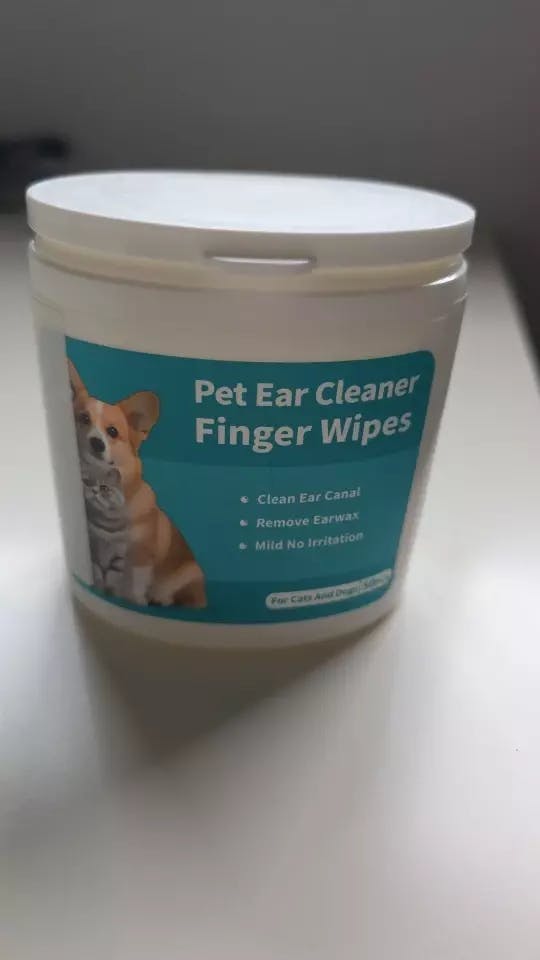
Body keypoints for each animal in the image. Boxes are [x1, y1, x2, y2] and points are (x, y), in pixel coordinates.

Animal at [81, 463, 129, 597]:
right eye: (86, 482)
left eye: (103, 488)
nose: (94, 491)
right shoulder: (93, 555)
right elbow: (97, 576)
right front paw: (99, 589)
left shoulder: (118, 560)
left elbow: (112, 581)